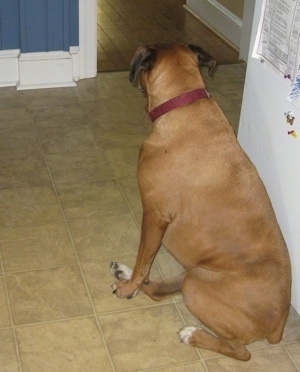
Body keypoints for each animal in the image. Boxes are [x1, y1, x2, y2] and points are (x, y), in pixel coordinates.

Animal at [110, 43, 290, 360]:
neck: (185, 104)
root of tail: (280, 323)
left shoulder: (154, 215)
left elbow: (144, 259)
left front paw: (129, 287)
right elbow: (144, 265)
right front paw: (131, 281)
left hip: (197, 284)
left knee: (240, 352)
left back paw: (192, 334)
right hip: (193, 273)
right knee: (158, 291)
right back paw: (126, 274)